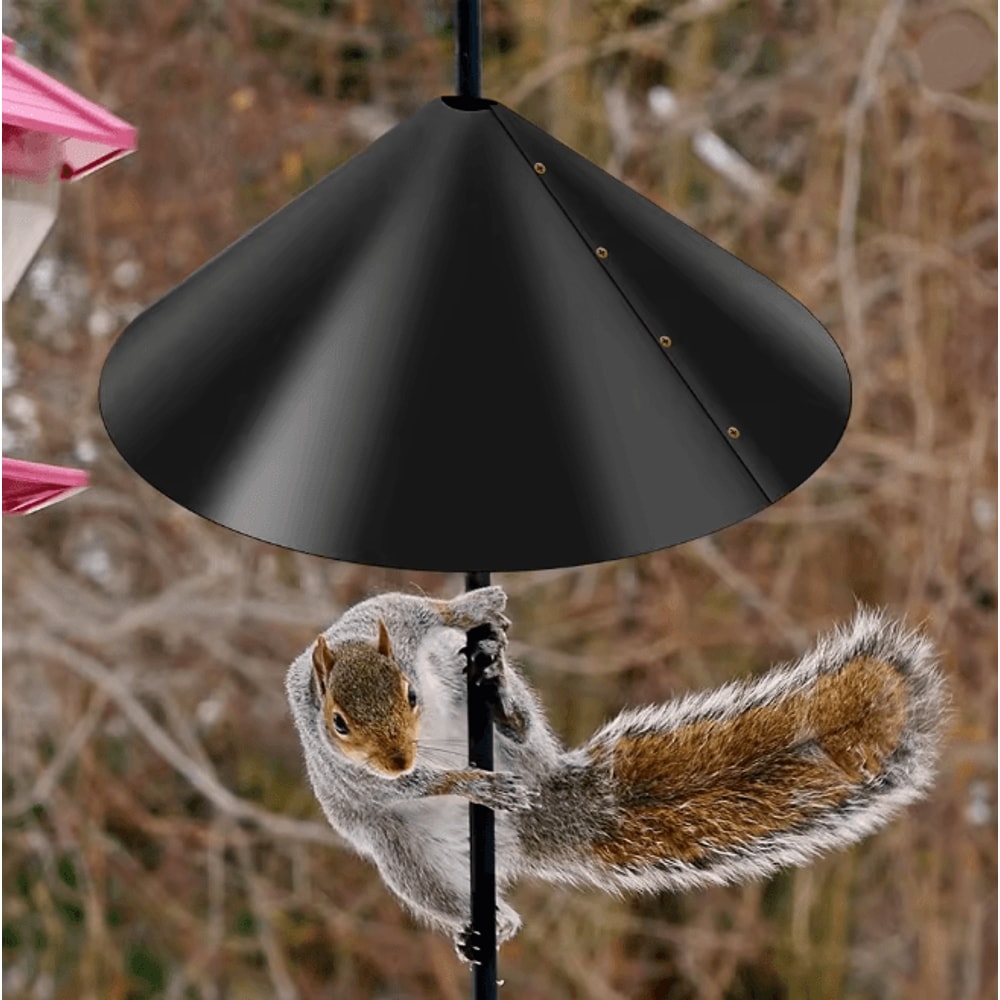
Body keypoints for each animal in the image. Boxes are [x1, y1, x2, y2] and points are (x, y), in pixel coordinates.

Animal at [285, 585, 947, 959]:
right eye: (338, 724)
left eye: (411, 695)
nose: (400, 757)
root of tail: (540, 808)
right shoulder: (352, 770)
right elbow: (408, 782)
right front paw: (464, 782)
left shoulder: (397, 618)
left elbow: (430, 609)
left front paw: (475, 605)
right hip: (405, 853)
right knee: (441, 889)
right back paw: (485, 926)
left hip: (504, 727)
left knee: (520, 734)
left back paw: (502, 704)